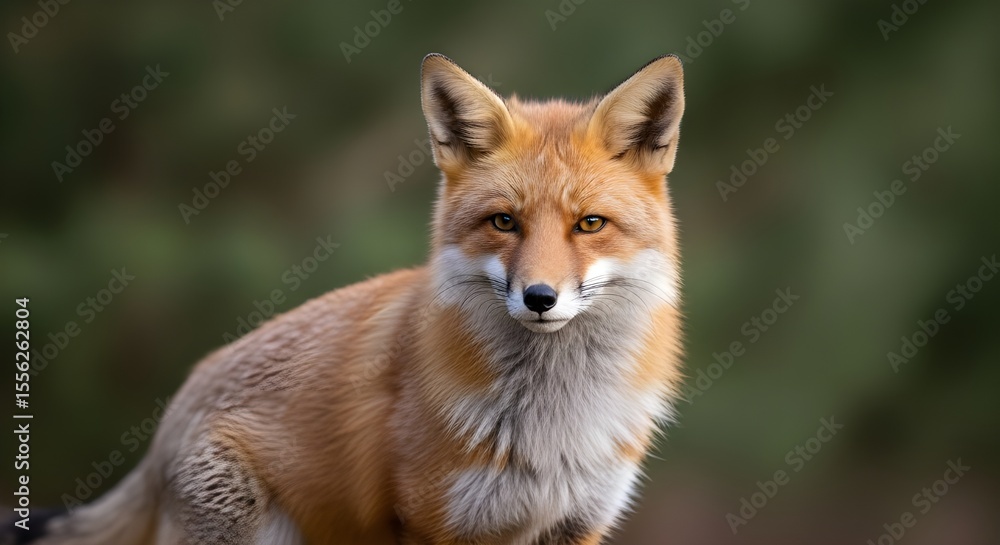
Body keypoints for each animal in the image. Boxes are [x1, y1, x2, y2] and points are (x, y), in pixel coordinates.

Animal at [10, 53, 686, 545]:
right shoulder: (433, 523)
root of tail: (169, 416)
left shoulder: (577, 524)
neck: (553, 426)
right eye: (504, 222)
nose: (540, 297)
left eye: (590, 224)